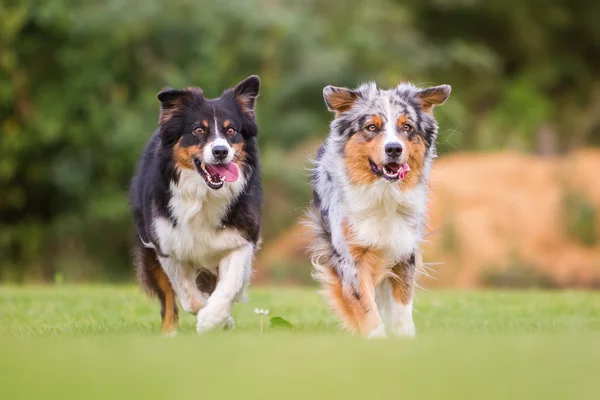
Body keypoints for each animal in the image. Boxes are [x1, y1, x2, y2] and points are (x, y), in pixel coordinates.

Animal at [130, 76, 262, 334]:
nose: (220, 151)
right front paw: (214, 316)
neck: (204, 195)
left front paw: (213, 317)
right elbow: (189, 298)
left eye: (231, 130)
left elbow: (230, 285)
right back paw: (169, 333)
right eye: (198, 130)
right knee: (169, 299)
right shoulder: (166, 244)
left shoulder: (241, 239)